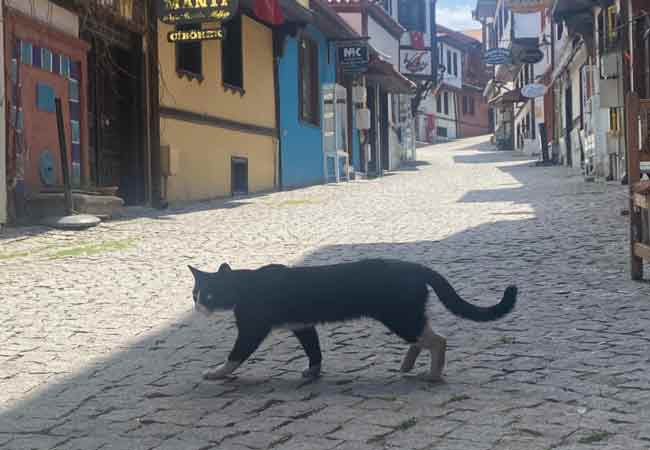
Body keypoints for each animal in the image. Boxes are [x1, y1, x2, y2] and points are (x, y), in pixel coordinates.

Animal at [187, 258, 516, 382]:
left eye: (209, 295)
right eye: (194, 294)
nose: (198, 307)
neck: (247, 285)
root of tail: (415, 266)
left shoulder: (252, 329)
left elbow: (235, 355)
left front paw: (216, 372)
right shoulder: (303, 326)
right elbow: (314, 350)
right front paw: (313, 372)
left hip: (400, 317)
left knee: (438, 340)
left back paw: (433, 375)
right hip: (408, 317)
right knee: (425, 337)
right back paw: (407, 366)